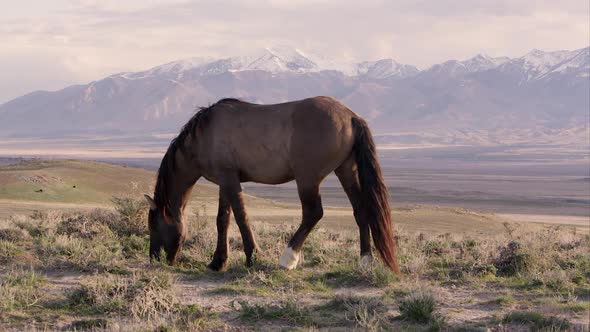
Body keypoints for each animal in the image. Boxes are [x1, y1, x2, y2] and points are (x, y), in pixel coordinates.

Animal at [145, 96, 400, 272]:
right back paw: (364, 261)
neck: (204, 135)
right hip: (345, 170)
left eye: (154, 225)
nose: (154, 258)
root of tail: (350, 116)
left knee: (313, 213)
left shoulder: (230, 180)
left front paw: (252, 256)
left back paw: (287, 259)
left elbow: (241, 217)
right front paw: (218, 262)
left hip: (308, 179)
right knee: (361, 210)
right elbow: (222, 220)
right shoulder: (224, 181)